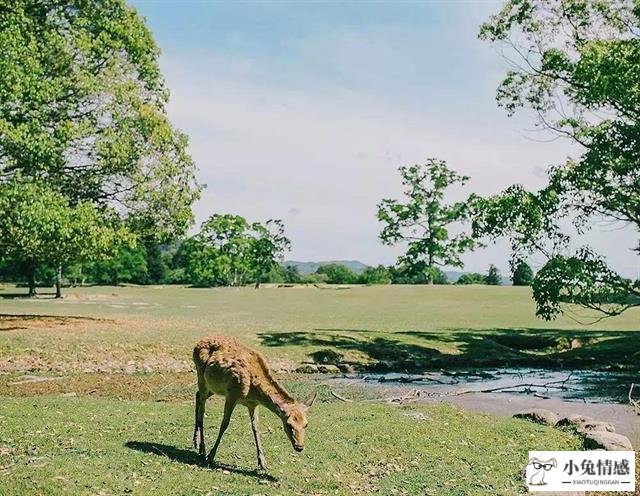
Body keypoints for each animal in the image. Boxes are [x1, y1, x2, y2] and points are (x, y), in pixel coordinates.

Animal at [192, 334, 318, 468]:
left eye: (306, 424)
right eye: (288, 424)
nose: (299, 447)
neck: (253, 391)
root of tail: (197, 344)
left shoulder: (253, 404)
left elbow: (256, 427)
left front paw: (263, 462)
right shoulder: (231, 394)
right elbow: (224, 424)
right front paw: (211, 456)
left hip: (214, 387)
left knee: (197, 395)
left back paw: (196, 442)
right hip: (201, 377)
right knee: (202, 411)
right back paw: (202, 450)